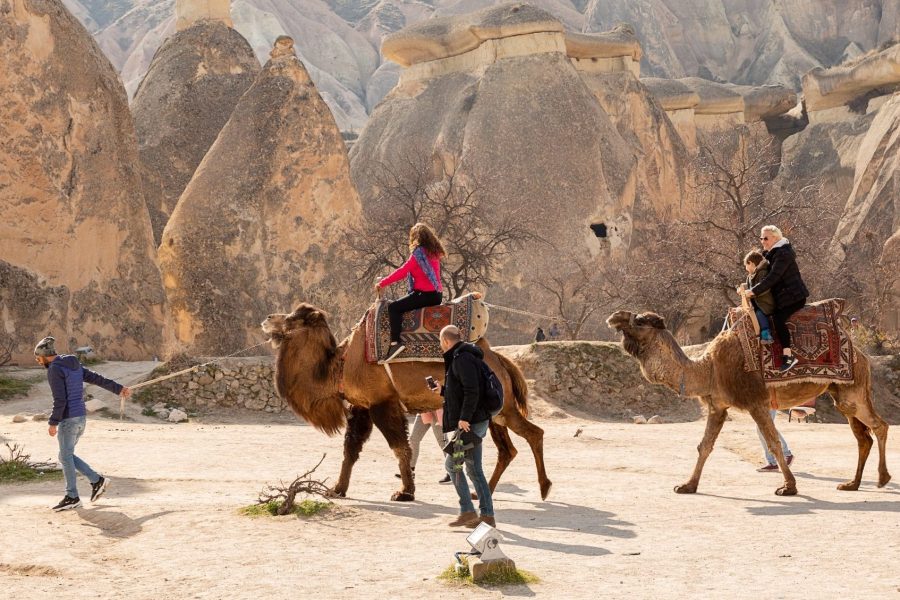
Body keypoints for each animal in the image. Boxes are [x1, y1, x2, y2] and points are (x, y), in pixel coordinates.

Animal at [264, 304, 552, 502]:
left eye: (292, 317)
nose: (267, 319)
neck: (340, 366)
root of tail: (500, 359)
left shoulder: (382, 402)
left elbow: (399, 447)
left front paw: (404, 492)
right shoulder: (362, 406)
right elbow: (351, 449)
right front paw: (337, 489)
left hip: (503, 407)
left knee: (534, 433)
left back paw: (544, 487)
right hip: (493, 413)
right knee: (507, 449)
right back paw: (484, 492)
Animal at [608, 310, 888, 496]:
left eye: (639, 321)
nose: (614, 317)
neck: (708, 369)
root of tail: (862, 355)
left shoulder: (756, 403)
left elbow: (774, 443)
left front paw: (788, 487)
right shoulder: (717, 406)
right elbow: (704, 446)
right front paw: (687, 485)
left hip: (854, 391)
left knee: (879, 426)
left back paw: (882, 479)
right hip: (841, 396)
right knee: (863, 436)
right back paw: (852, 484)